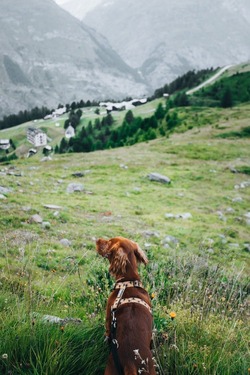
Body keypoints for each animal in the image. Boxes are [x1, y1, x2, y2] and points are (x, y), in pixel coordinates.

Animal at [96, 238, 156, 375]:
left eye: (109, 241)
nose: (97, 240)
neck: (128, 282)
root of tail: (130, 362)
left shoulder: (108, 318)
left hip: (110, 369)